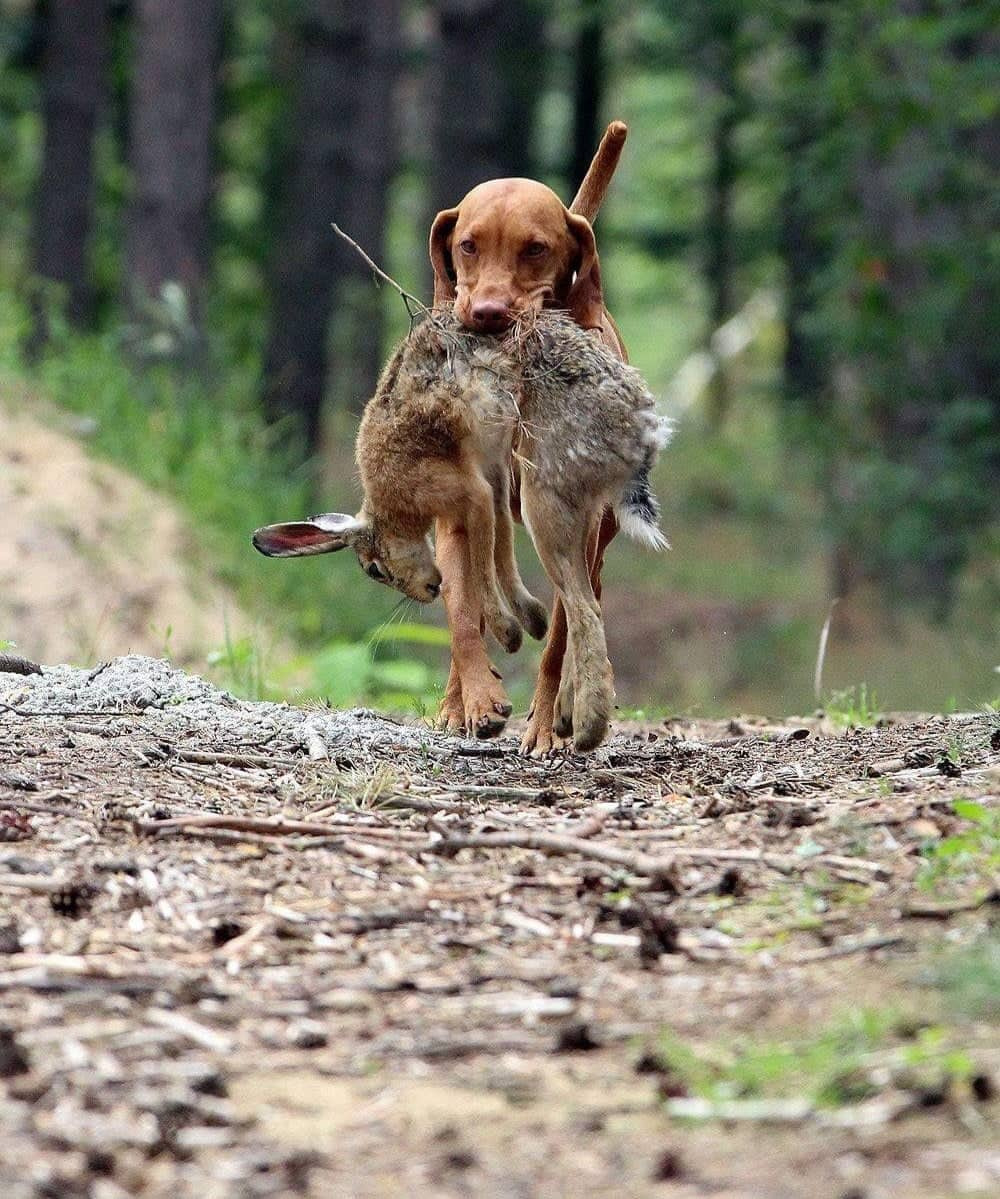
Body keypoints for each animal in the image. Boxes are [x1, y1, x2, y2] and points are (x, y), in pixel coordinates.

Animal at [426, 124, 628, 757]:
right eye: (468, 245)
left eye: (535, 248)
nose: (489, 313)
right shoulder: (455, 509)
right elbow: (461, 611)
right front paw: (474, 699)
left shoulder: (574, 527)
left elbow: (561, 634)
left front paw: (543, 723)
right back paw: (454, 702)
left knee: (588, 602)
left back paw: (567, 706)